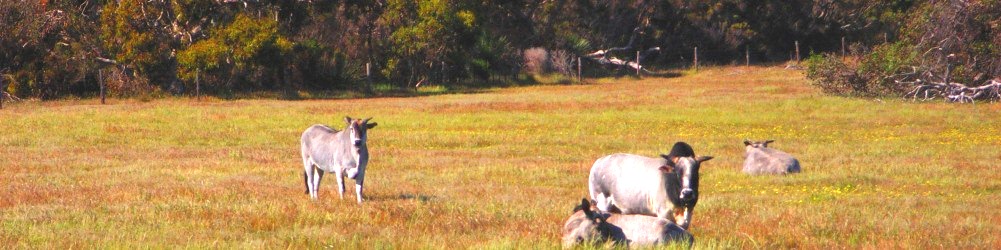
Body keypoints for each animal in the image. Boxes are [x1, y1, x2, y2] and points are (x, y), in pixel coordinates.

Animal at [584, 142, 712, 229]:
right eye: (676, 172)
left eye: (695, 172)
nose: (687, 193)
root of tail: (598, 162)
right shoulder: (663, 214)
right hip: (602, 203)